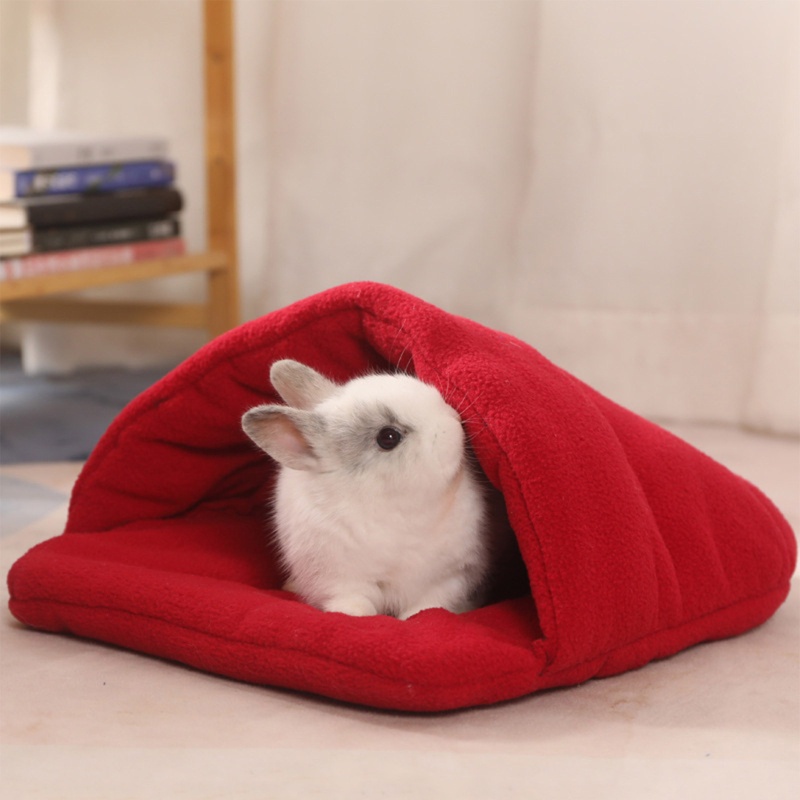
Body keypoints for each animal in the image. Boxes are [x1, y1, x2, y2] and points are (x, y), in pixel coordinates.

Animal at [242, 359, 501, 620]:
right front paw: (354, 615)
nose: (454, 418)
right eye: (388, 437)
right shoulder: (339, 580)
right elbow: (354, 602)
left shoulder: (453, 576)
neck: (397, 509)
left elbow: (428, 605)